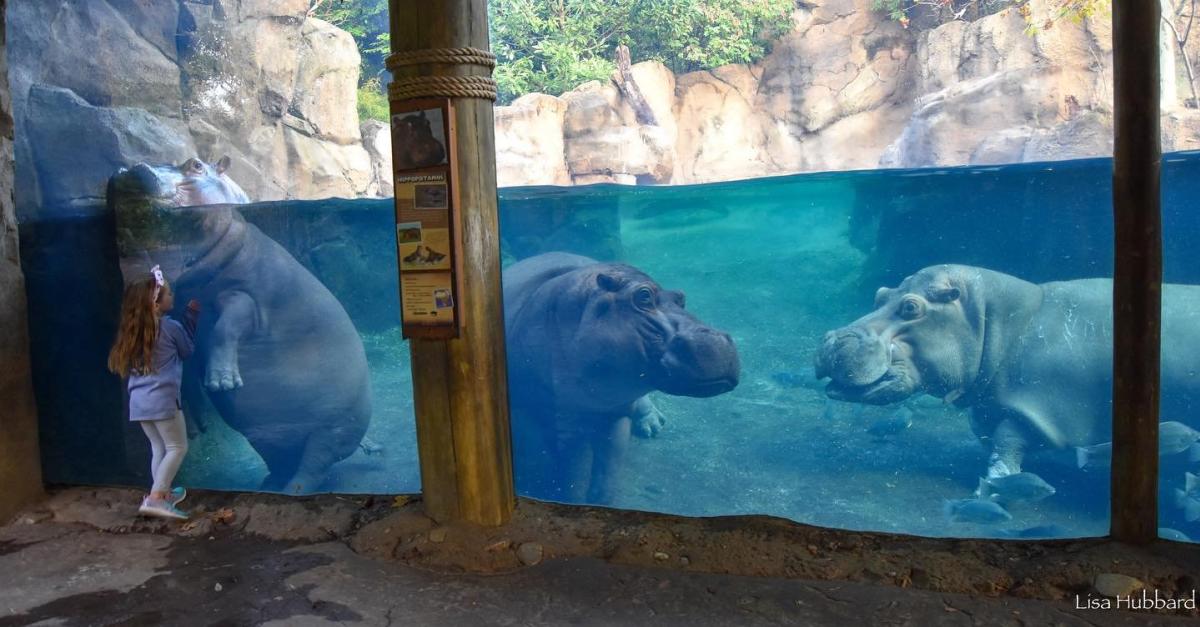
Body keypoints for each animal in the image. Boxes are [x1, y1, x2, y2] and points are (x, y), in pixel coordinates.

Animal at [107, 157, 369, 492]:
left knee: (313, 467)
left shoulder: (245, 298)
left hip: (332, 430)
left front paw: (222, 382)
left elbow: (226, 328)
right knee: (283, 458)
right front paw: (198, 420)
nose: (130, 166)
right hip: (270, 435)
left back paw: (291, 491)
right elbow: (185, 362)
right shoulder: (183, 308)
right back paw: (268, 484)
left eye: (195, 164)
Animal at [499, 251, 739, 499]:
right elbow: (561, 465)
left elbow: (607, 471)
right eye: (644, 296)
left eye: (681, 297)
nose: (717, 338)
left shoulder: (615, 410)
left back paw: (652, 425)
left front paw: (598, 498)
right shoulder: (536, 410)